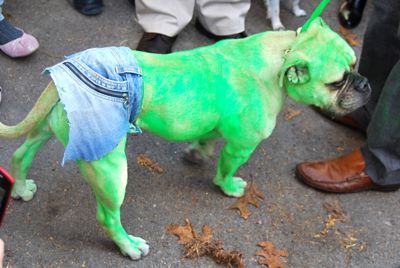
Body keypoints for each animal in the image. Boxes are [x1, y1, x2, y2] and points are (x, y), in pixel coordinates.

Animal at [0, 18, 368, 260]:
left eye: (355, 64)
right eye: (337, 82)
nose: (365, 84)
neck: (285, 52)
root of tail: (66, 69)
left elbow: (206, 140)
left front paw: (197, 152)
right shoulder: (242, 146)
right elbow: (226, 169)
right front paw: (228, 186)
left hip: (48, 128)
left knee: (21, 154)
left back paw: (20, 188)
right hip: (110, 171)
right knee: (107, 217)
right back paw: (129, 246)